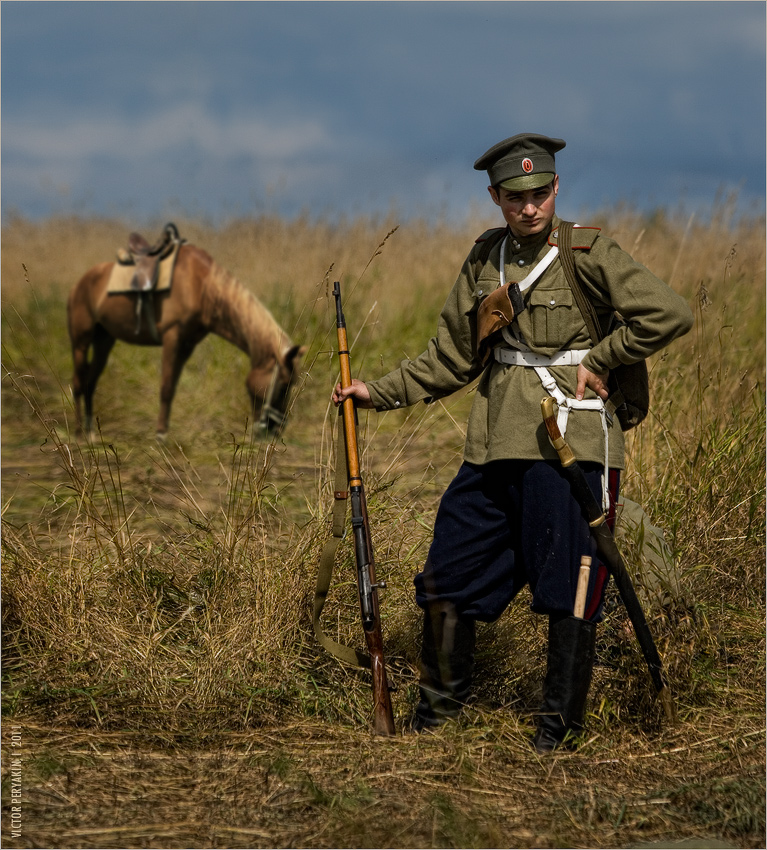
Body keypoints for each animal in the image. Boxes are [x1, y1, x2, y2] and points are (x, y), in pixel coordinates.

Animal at [67, 230, 306, 438]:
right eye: (283, 384)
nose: (276, 430)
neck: (200, 285)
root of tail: (79, 283)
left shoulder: (187, 345)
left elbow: (172, 388)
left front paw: (163, 432)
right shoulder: (172, 337)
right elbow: (165, 388)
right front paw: (160, 436)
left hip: (104, 342)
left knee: (90, 382)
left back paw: (90, 431)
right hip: (81, 342)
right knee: (78, 382)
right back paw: (79, 432)